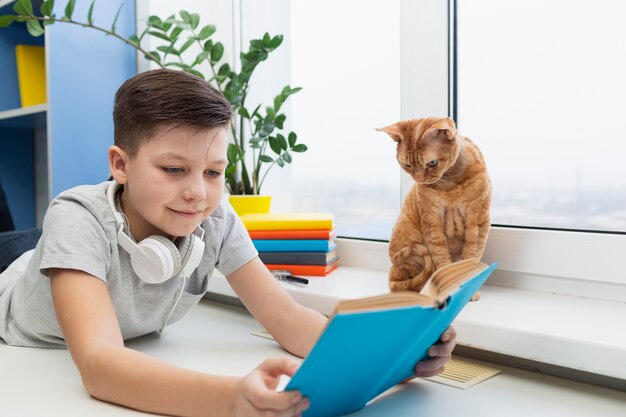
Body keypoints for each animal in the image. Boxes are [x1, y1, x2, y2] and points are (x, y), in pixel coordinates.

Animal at [378, 117, 490, 300]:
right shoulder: (432, 223)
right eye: (406, 164)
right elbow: (442, 259)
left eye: (432, 163)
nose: (419, 179)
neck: (451, 183)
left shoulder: (478, 221)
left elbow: (471, 256)